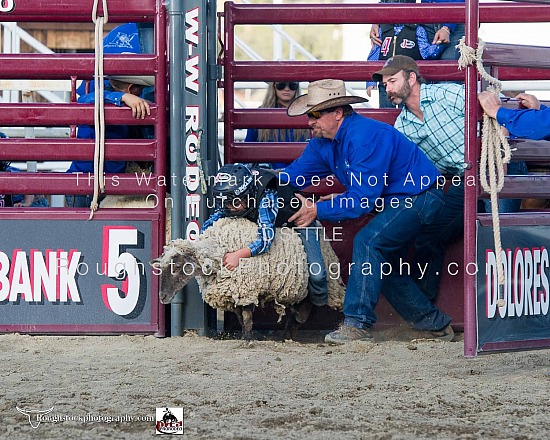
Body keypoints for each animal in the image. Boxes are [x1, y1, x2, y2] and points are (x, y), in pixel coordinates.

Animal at [151, 217, 344, 340]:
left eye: (177, 266)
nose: (162, 297)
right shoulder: (234, 293)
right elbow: (240, 316)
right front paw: (245, 335)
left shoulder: (246, 289)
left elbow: (247, 316)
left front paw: (249, 340)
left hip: (313, 283)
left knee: (304, 311)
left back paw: (289, 334)